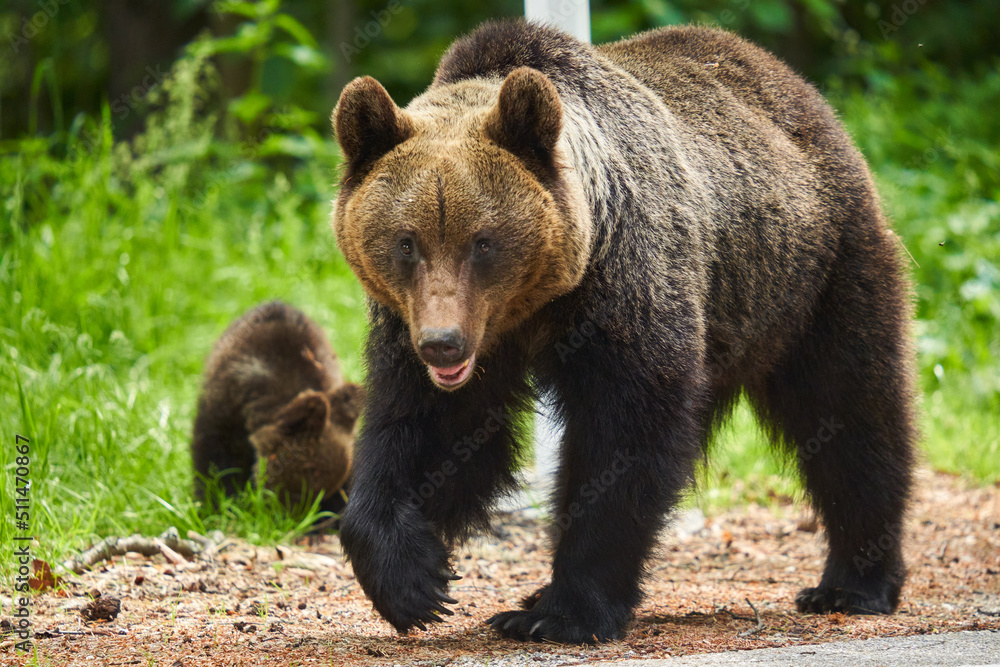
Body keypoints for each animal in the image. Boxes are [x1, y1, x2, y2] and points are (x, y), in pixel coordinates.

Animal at [328, 20, 916, 644]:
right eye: (406, 242)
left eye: (482, 241)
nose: (443, 344)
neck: (536, 307)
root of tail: (798, 88)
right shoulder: (429, 328)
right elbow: (429, 430)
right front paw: (414, 582)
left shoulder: (625, 291)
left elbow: (623, 442)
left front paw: (561, 612)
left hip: (815, 275)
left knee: (851, 410)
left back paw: (853, 582)